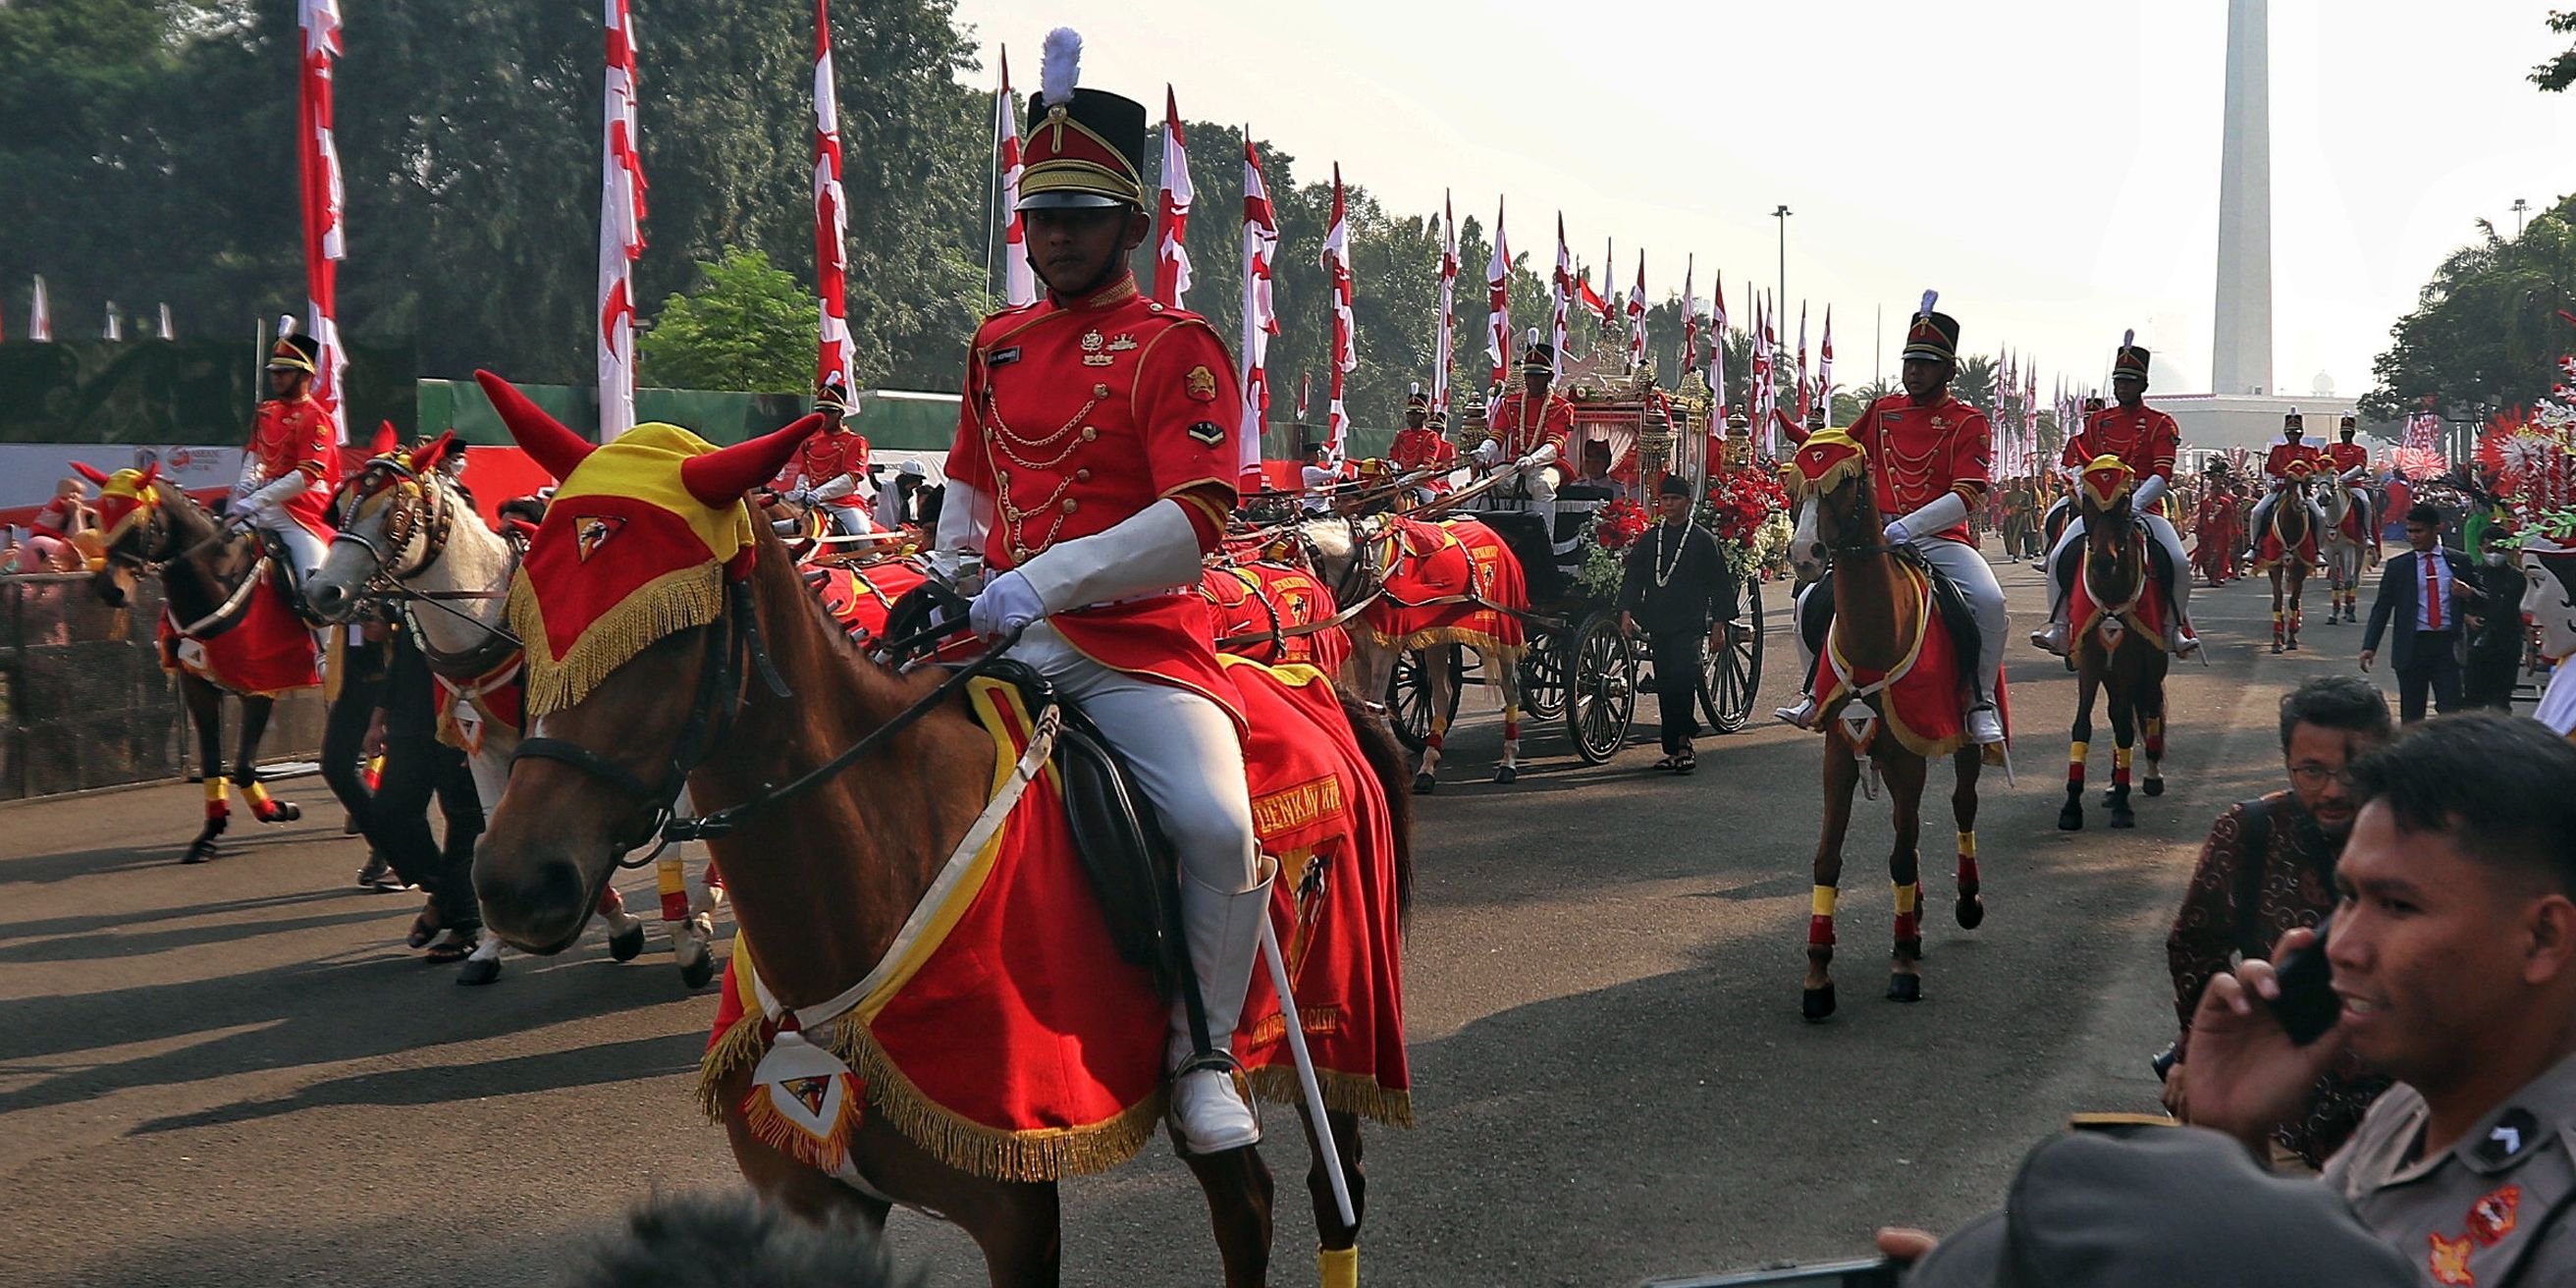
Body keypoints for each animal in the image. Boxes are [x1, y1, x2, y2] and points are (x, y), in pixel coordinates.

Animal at [83, 468, 306, 860]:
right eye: (99, 520)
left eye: (138, 525)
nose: (110, 591)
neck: (221, 581)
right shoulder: (198, 686)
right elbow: (213, 762)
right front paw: (208, 835)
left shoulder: (259, 688)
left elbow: (244, 767)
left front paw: (278, 810)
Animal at [308, 443, 725, 984]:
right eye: (339, 508)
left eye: (393, 516)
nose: (321, 592)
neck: (490, 619)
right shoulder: (490, 746)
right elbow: (490, 829)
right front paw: (497, 946)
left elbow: (670, 833)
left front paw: (686, 939)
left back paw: (705, 905)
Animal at [473, 391, 1422, 1288]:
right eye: (528, 616)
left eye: (670, 634)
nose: (517, 882)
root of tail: (1311, 684)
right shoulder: (817, 1200)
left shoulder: (1015, 1213)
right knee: (1246, 1201)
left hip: (1335, 1026)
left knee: (1326, 1187)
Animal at [1793, 435, 1988, 1025]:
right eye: (1795, 481)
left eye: (1844, 483)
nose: (1804, 555)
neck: (1875, 634)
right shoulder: (1839, 755)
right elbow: (1828, 857)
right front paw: (1818, 976)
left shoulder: (1910, 755)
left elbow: (1902, 854)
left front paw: (1903, 968)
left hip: (1960, 742)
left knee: (1960, 807)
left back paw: (1963, 904)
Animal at [2061, 473, 2164, 834]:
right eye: (2089, 502)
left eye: (2124, 501)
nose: (2104, 562)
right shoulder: (2091, 665)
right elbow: (2082, 726)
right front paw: (2071, 805)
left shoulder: (2130, 666)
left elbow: (2125, 729)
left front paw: (2123, 804)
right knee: (2123, 714)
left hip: (2151, 668)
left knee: (2149, 710)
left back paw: (2150, 776)